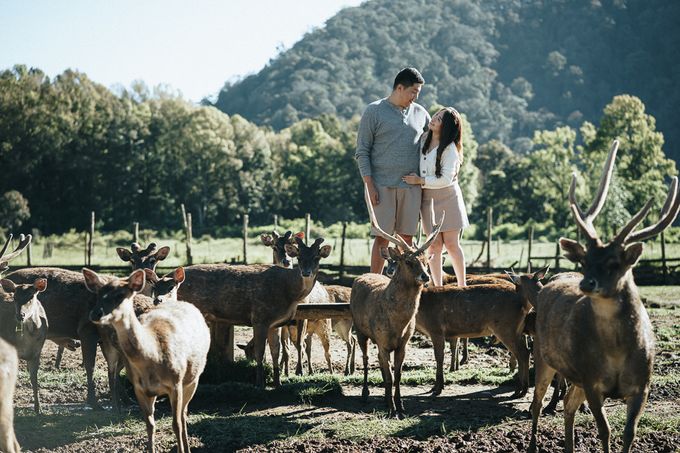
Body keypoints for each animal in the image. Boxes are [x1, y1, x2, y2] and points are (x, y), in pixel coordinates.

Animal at [0, 276, 48, 414]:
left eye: (31, 296)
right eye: (15, 297)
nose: (20, 315)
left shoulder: (37, 352)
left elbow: (34, 379)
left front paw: (38, 409)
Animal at [84, 268, 209, 452]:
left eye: (120, 295)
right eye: (98, 294)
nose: (95, 313)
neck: (153, 355)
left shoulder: (176, 383)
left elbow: (176, 424)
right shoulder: (140, 389)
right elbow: (150, 425)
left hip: (193, 379)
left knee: (184, 414)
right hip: (109, 347)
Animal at [173, 235, 330, 386]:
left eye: (317, 257)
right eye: (299, 257)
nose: (306, 272)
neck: (289, 294)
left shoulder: (276, 324)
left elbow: (275, 351)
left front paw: (278, 382)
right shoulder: (260, 317)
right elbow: (260, 351)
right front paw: (259, 382)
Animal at [516, 139, 676, 452]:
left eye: (615, 263)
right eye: (584, 260)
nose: (586, 284)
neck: (618, 351)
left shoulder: (642, 386)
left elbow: (629, 433)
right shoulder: (591, 379)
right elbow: (605, 431)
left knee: (567, 405)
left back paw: (568, 446)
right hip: (544, 356)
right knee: (538, 402)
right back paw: (531, 444)